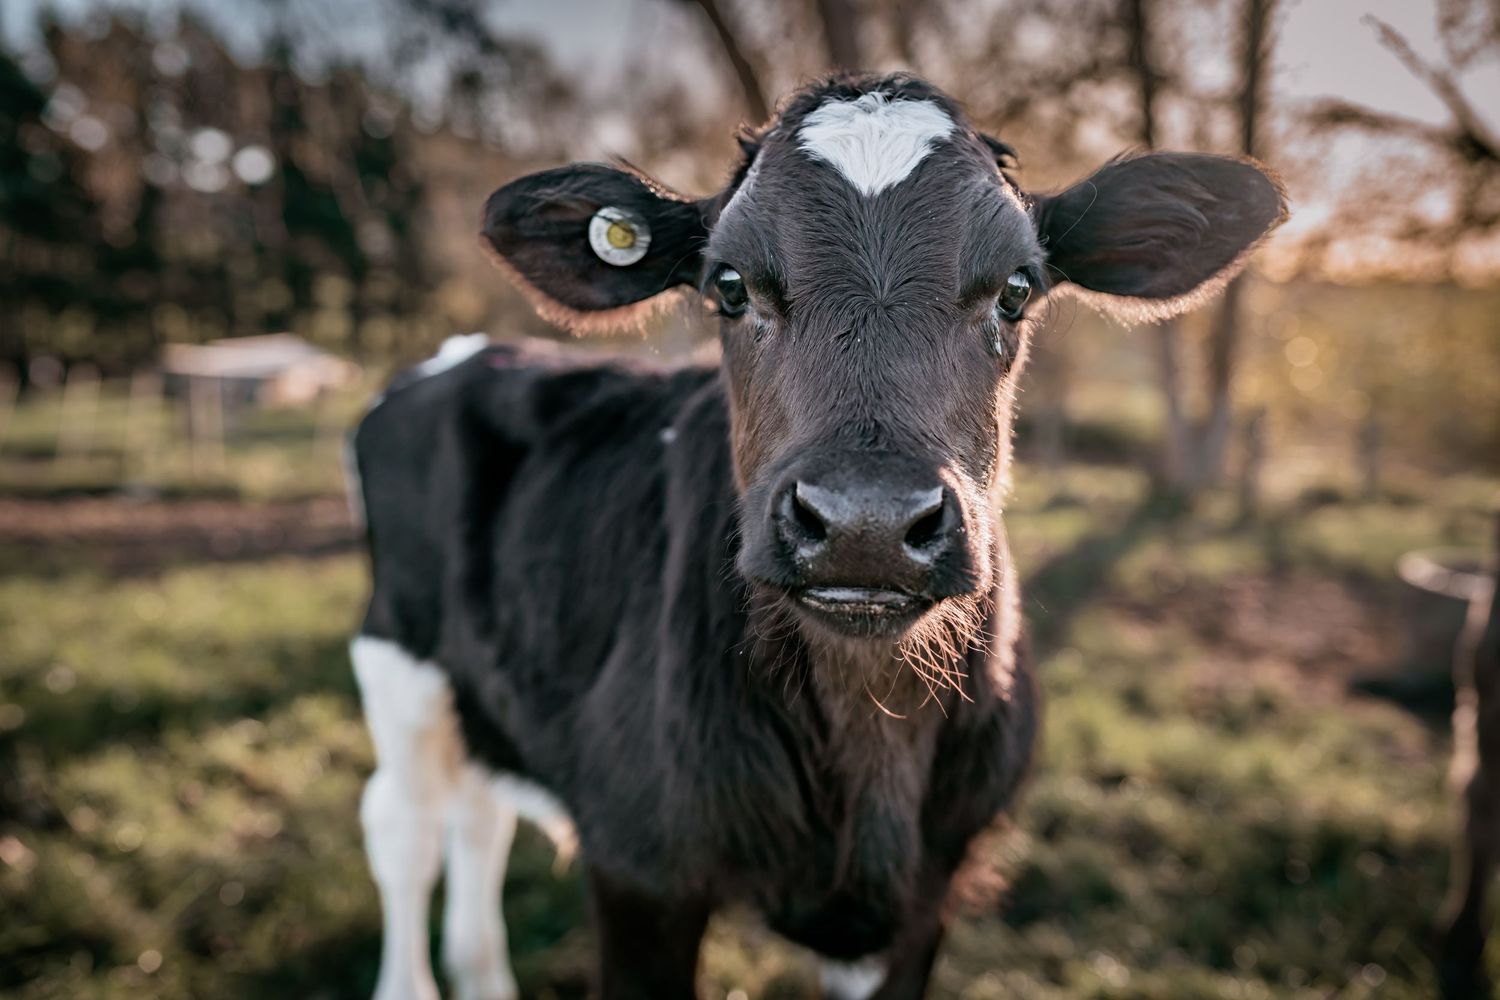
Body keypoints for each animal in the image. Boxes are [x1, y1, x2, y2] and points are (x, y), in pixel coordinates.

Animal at [348, 72, 1286, 1000]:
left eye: (1018, 288)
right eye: (728, 285)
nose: (865, 521)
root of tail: (472, 351)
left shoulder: (926, 897)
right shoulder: (637, 870)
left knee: (480, 812)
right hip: (395, 652)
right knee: (405, 830)